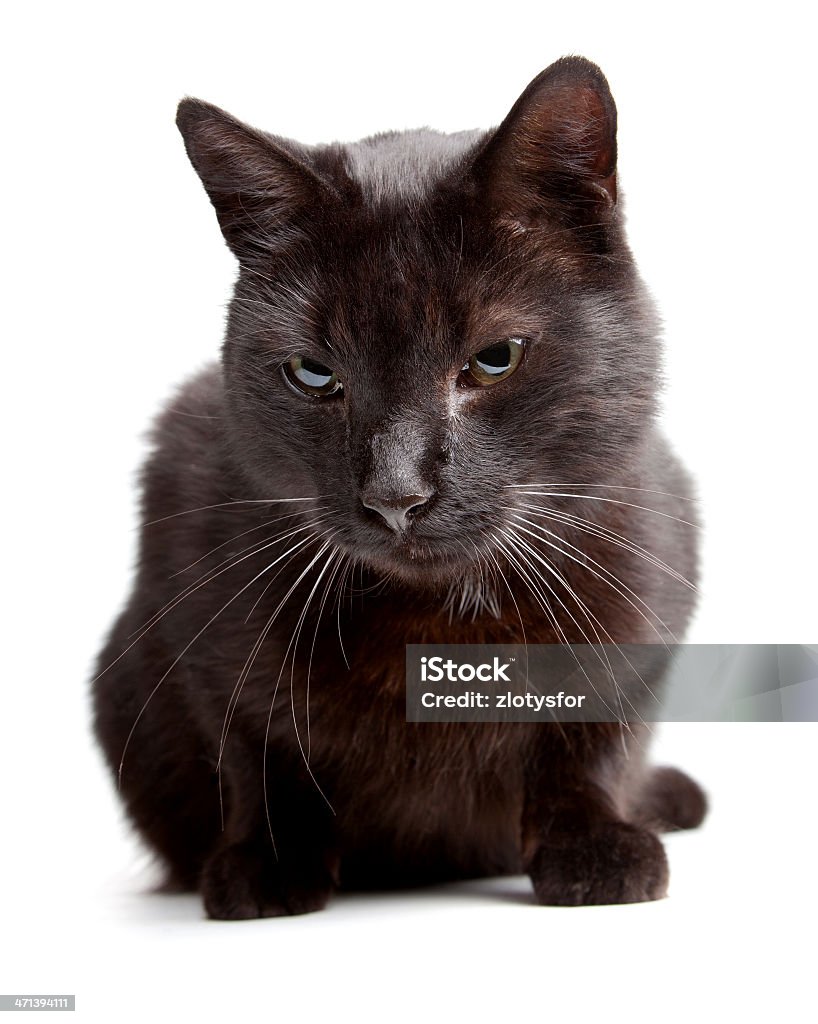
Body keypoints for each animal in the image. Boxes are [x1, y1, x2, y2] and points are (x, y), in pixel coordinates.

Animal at [91, 56, 704, 921]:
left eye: (493, 360)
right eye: (314, 374)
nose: (395, 494)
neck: (436, 620)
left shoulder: (647, 567)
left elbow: (594, 731)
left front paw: (595, 848)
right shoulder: (191, 558)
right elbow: (257, 743)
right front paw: (267, 865)